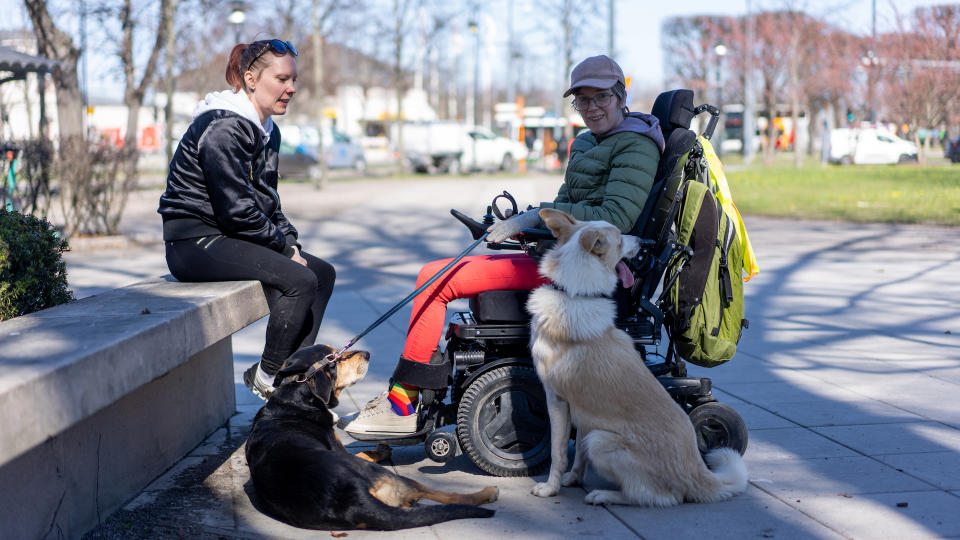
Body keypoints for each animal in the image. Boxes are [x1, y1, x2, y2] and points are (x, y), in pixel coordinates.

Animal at [244, 344, 498, 528]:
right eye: (336, 358)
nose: (367, 353)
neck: (295, 395)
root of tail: (352, 503)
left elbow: (364, 452)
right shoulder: (341, 449)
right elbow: (366, 453)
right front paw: (381, 449)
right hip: (393, 477)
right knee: (446, 495)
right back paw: (486, 493)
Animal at [528, 209, 748, 508]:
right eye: (620, 240)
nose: (644, 241)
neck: (573, 294)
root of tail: (696, 472)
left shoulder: (557, 400)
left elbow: (558, 453)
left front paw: (549, 488)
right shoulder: (584, 409)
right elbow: (577, 454)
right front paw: (573, 478)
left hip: (601, 440)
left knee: (658, 496)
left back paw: (605, 495)